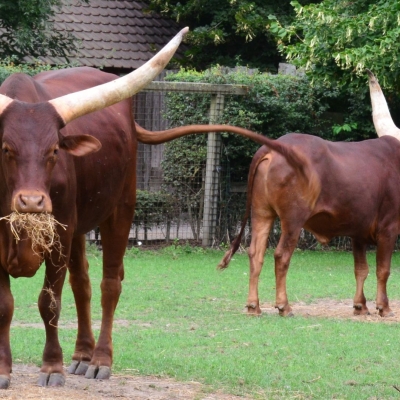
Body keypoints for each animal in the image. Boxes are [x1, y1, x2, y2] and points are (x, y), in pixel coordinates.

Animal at [0, 27, 310, 388]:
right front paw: (5, 370)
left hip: (120, 210)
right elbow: (5, 305)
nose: (32, 202)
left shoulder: (59, 235)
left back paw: (99, 360)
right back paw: (81, 354)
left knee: (109, 285)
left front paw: (52, 367)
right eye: (5, 148)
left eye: (53, 151)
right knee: (83, 284)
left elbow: (49, 302)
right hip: (81, 224)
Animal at [219, 69, 400, 318]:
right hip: (293, 219)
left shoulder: (358, 232)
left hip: (261, 212)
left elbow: (361, 269)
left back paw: (253, 306)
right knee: (281, 256)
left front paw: (360, 306)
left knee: (256, 253)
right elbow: (383, 269)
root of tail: (273, 147)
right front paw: (384, 307)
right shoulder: (388, 228)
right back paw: (284, 306)